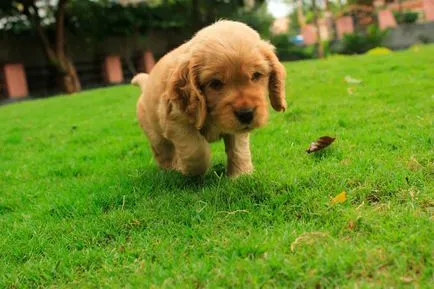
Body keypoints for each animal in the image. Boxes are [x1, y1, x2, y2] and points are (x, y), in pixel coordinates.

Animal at [133, 20, 288, 177]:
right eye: (215, 83)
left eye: (256, 75)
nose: (246, 114)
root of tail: (145, 83)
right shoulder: (177, 121)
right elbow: (196, 151)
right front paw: (188, 170)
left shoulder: (238, 129)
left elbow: (238, 148)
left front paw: (240, 175)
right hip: (155, 134)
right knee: (164, 153)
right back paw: (171, 170)